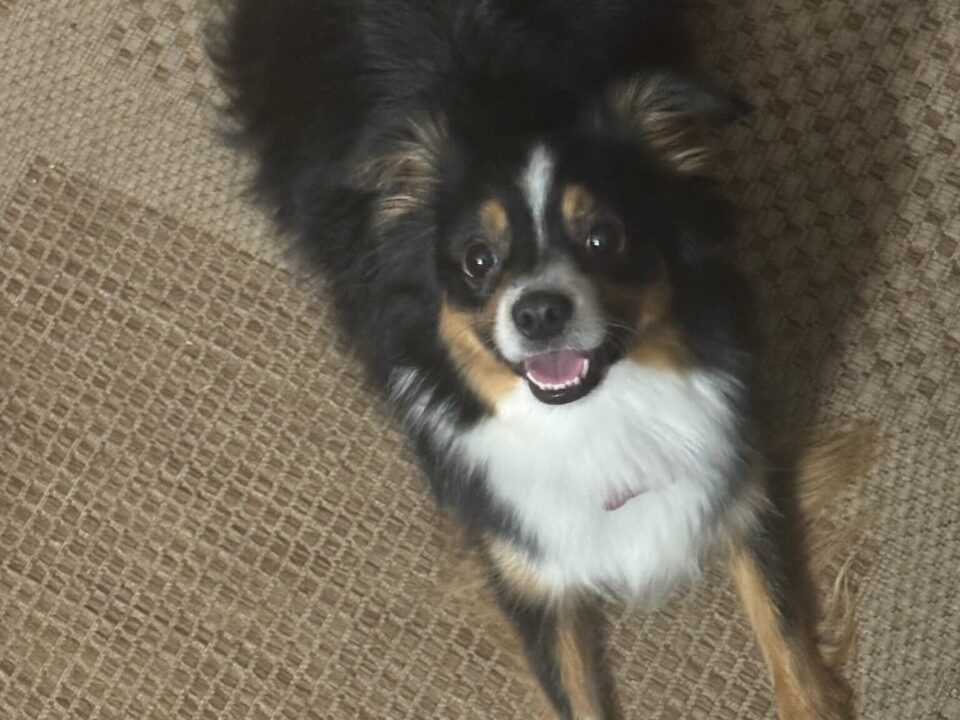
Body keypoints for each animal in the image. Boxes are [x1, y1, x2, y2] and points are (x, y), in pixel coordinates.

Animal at [212, 2, 856, 716]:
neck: (595, 416)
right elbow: (573, 693)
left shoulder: (738, 472)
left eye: (604, 237)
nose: (539, 311)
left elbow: (784, 626)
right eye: (478, 259)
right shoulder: (521, 564)